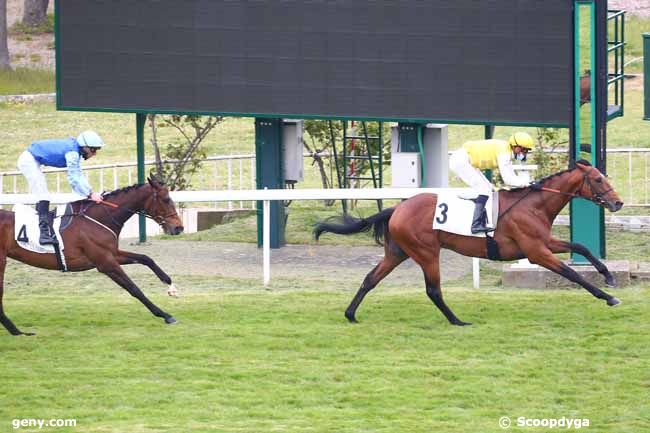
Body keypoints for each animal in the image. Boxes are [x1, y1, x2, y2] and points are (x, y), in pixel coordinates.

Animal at [0, 177, 182, 336]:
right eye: (166, 199)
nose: (179, 228)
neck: (96, 219)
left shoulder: (112, 254)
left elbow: (146, 258)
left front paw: (170, 286)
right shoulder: (106, 263)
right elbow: (134, 288)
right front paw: (165, 315)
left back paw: (16, 331)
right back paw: (17, 332)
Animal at [314, 160, 624, 326]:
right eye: (598, 179)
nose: (618, 203)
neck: (533, 205)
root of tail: (397, 208)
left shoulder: (543, 242)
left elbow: (581, 247)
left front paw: (609, 278)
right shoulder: (536, 251)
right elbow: (572, 273)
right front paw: (608, 297)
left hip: (397, 252)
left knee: (370, 279)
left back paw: (351, 314)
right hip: (426, 252)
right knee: (433, 290)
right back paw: (457, 321)